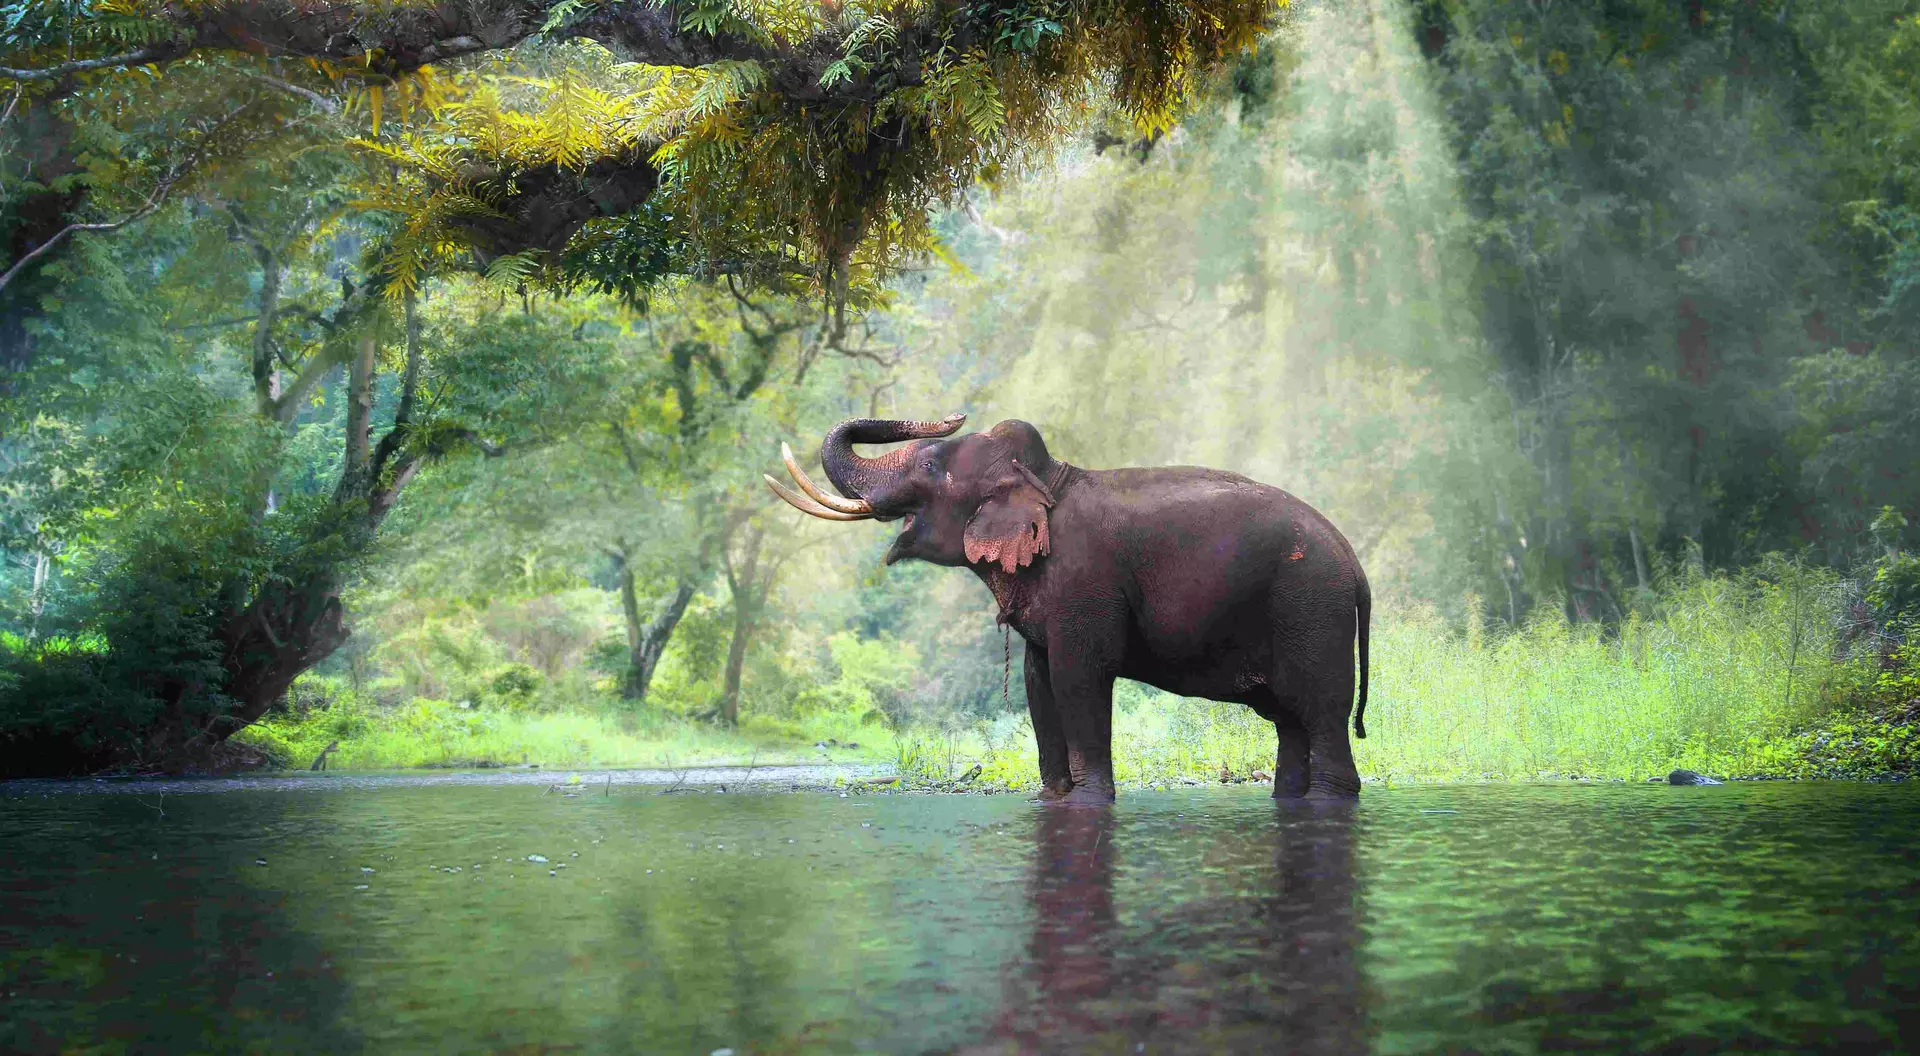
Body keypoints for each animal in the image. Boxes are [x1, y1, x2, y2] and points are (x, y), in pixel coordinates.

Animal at [766, 413, 1371, 802]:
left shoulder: (1085, 583)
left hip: (1313, 610)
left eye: (933, 465)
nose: (951, 415)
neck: (1047, 476)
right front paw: (1052, 798)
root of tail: (1355, 564)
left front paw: (1089, 801)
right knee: (1291, 724)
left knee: (1321, 715)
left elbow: (1080, 677)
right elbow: (1039, 683)